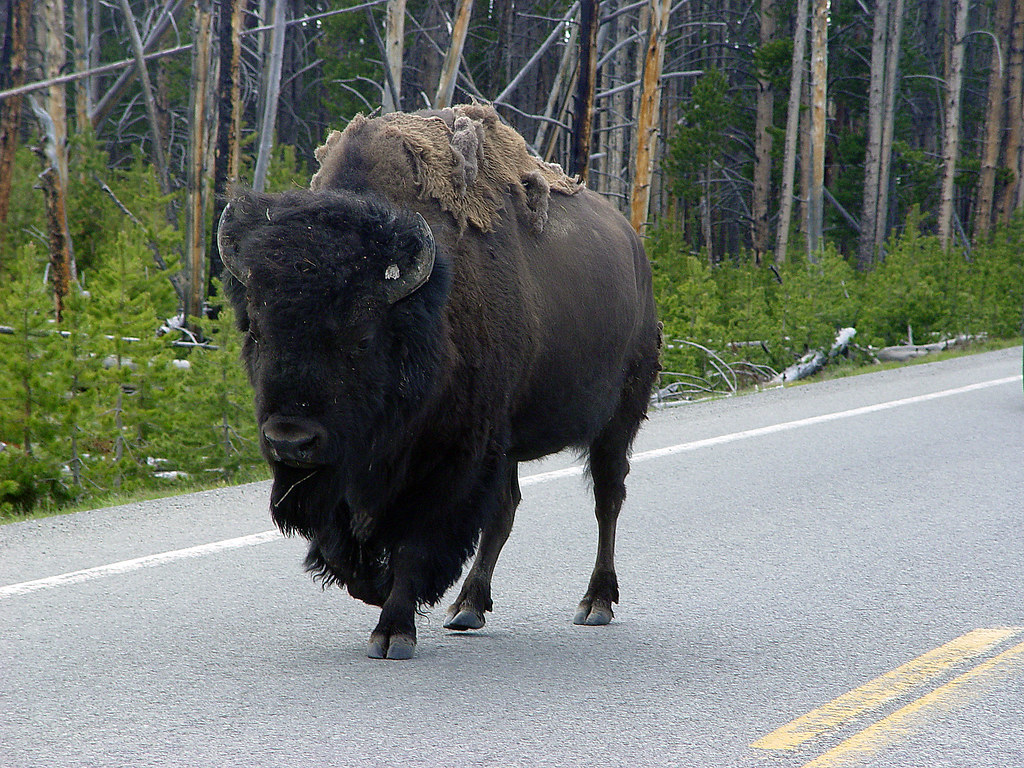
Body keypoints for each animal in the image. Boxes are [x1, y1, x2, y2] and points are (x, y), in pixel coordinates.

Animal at [216, 105, 660, 659]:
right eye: (254, 329)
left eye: (361, 335)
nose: (289, 440)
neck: (420, 312)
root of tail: (635, 247)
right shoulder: (351, 472)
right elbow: (341, 545)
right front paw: (377, 588)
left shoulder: (448, 458)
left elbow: (415, 540)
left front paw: (393, 631)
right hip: (508, 442)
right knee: (506, 510)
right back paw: (468, 606)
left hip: (616, 420)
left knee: (607, 499)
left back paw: (595, 602)